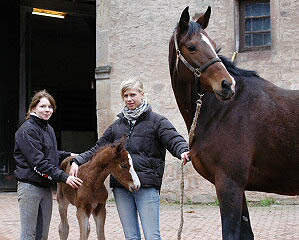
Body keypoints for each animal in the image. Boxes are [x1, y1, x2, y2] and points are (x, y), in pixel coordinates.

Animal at [170, 5, 298, 240]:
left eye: (214, 45)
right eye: (191, 47)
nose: (227, 85)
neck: (223, 111)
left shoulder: (229, 184)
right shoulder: (236, 186)